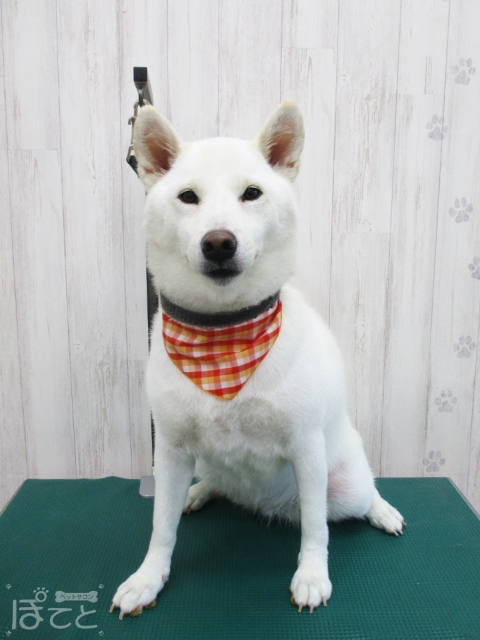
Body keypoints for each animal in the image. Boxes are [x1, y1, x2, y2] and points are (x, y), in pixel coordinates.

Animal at [111, 101, 405, 618]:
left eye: (252, 193)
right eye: (188, 197)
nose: (219, 242)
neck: (223, 337)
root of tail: (266, 505)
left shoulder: (306, 447)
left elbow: (316, 529)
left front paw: (312, 576)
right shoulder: (170, 449)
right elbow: (161, 527)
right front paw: (148, 579)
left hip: (343, 481)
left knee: (358, 498)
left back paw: (383, 511)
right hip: (203, 464)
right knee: (213, 483)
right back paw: (198, 493)